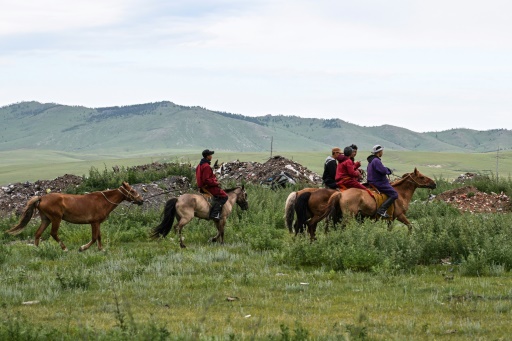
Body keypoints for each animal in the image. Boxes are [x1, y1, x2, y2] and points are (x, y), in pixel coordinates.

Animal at [6, 181, 145, 250]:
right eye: (132, 191)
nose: (141, 200)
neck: (103, 201)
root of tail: (41, 198)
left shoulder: (97, 223)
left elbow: (99, 236)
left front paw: (101, 249)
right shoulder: (94, 222)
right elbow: (94, 237)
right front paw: (83, 248)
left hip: (46, 219)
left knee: (38, 233)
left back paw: (37, 250)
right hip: (56, 219)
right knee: (53, 233)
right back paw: (64, 248)